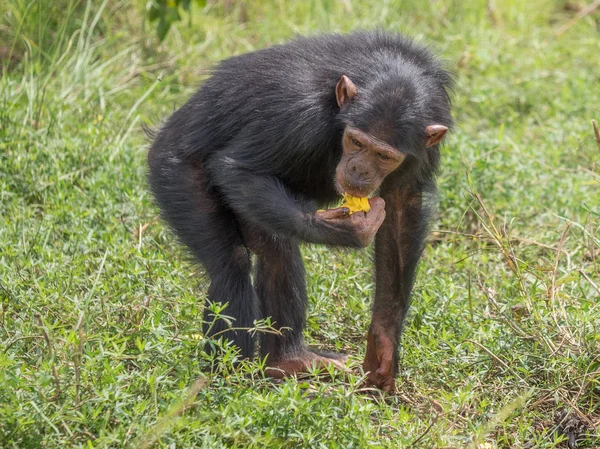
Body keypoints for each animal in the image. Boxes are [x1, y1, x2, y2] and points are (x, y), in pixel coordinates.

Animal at [148, 30, 452, 392]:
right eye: (357, 142)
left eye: (383, 156)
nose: (359, 170)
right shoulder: (297, 116)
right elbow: (238, 169)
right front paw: (344, 231)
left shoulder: (423, 143)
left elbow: (402, 210)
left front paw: (383, 347)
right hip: (173, 174)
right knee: (231, 266)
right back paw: (226, 380)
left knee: (277, 252)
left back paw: (287, 360)